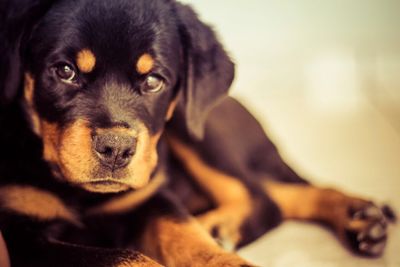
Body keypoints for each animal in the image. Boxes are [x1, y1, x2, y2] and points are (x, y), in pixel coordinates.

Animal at [0, 0, 396, 266]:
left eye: (153, 81)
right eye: (64, 71)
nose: (116, 149)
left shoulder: (150, 196)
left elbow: (186, 235)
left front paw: (219, 253)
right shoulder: (24, 234)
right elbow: (124, 256)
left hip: (197, 131)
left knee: (263, 197)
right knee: (275, 195)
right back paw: (359, 218)